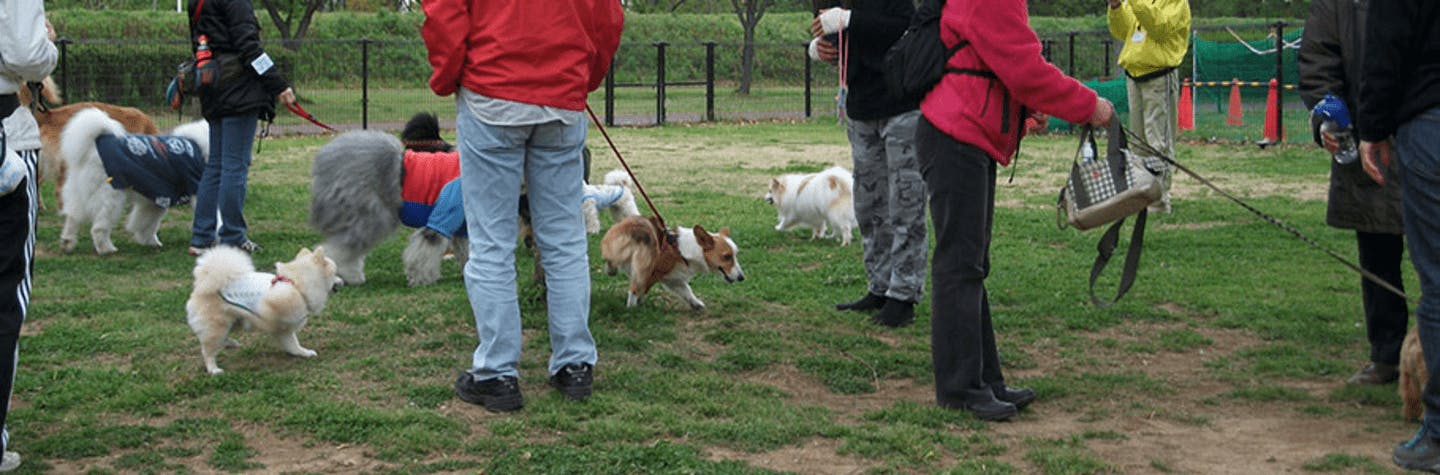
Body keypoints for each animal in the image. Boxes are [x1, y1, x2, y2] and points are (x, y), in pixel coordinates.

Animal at [57, 108, 210, 256]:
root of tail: (94, 146)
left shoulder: (157, 198)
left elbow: (144, 223)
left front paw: (150, 242)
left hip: (81, 194)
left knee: (73, 217)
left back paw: (67, 243)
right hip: (110, 199)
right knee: (98, 228)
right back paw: (106, 249)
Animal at [185, 244, 342, 374]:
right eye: (335, 274)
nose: (342, 282)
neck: (297, 284)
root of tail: (201, 287)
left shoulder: (284, 330)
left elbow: (292, 344)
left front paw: (303, 353)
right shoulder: (279, 307)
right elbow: (274, 318)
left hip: (233, 320)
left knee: (219, 339)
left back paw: (231, 344)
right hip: (217, 325)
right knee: (208, 350)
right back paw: (213, 369)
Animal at [601, 215, 748, 312]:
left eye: (735, 255)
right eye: (727, 257)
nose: (742, 278)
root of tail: (633, 230)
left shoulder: (674, 279)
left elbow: (687, 291)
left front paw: (696, 304)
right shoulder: (653, 275)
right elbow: (642, 291)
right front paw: (639, 304)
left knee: (611, 260)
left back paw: (611, 270)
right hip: (644, 267)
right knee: (634, 289)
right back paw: (631, 310)